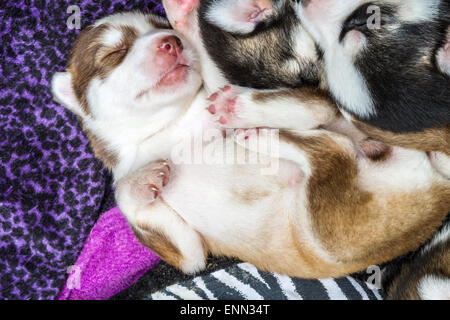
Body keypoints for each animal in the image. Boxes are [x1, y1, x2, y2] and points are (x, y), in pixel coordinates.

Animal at [51, 11, 450, 278]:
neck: (175, 124)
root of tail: (438, 184)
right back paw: (263, 136)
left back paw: (257, 130)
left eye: (162, 29)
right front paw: (146, 179)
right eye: (114, 53)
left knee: (329, 149)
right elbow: (133, 199)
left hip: (333, 230)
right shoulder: (190, 254)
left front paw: (237, 106)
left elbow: (304, 106)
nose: (173, 40)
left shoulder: (317, 102)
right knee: (330, 151)